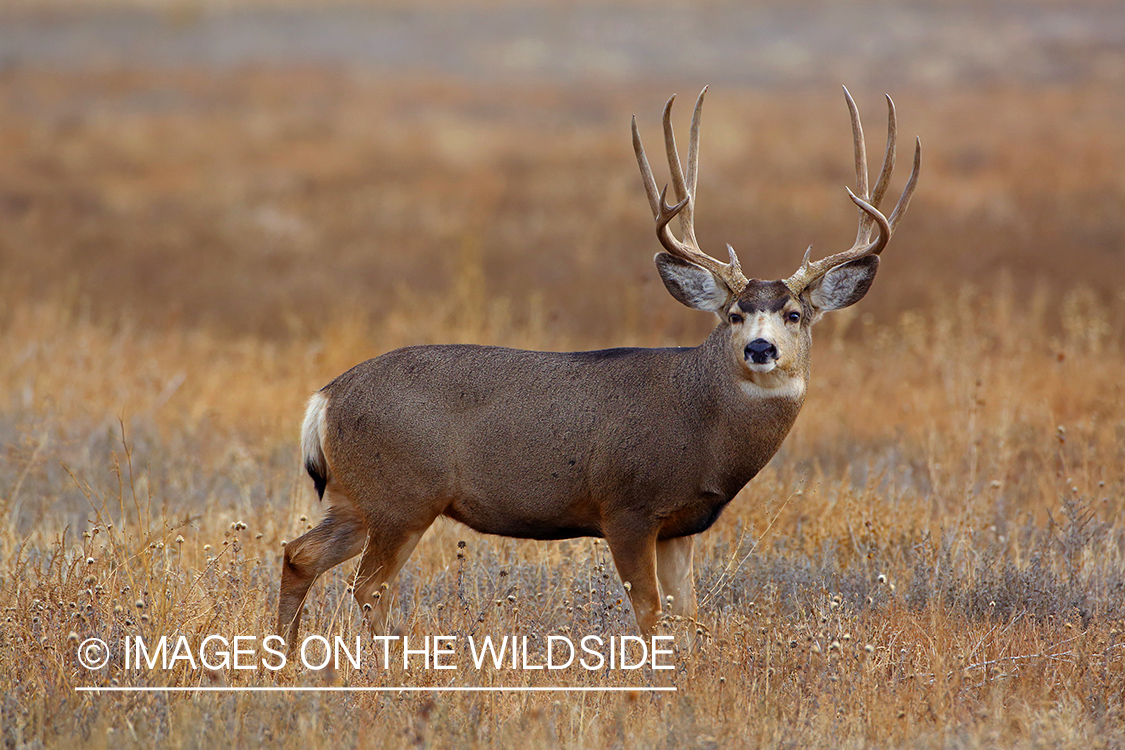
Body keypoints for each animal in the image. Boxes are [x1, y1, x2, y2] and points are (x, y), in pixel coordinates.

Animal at [278, 87, 919, 644]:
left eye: (794, 314)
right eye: (734, 314)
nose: (760, 349)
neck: (702, 420)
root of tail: (325, 397)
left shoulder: (681, 524)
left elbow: (688, 613)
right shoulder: (626, 506)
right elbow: (650, 610)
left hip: (358, 497)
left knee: (299, 555)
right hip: (403, 496)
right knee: (369, 587)